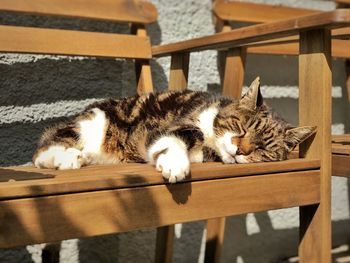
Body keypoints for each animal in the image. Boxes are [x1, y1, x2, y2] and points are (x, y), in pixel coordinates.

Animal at [33, 77, 318, 184]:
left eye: (262, 149)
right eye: (241, 127)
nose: (240, 150)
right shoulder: (175, 125)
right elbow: (173, 139)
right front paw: (175, 164)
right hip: (93, 122)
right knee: (43, 150)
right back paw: (68, 157)